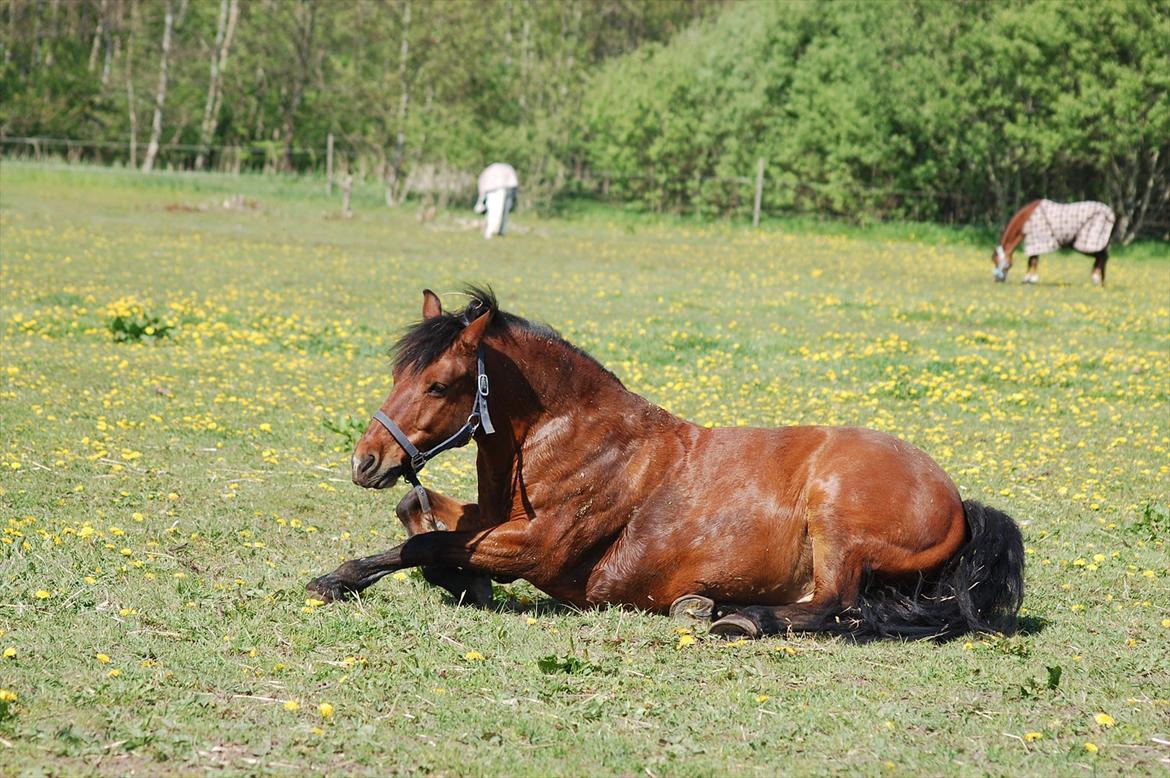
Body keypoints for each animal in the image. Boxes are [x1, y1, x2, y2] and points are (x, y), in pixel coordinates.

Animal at [304, 287, 1024, 641]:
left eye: (439, 384)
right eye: (398, 373)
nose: (365, 461)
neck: (569, 435)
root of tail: (959, 505)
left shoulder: (534, 547)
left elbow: (427, 547)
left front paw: (338, 580)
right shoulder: (490, 517)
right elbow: (418, 512)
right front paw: (461, 582)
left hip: (835, 519)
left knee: (839, 608)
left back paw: (735, 618)